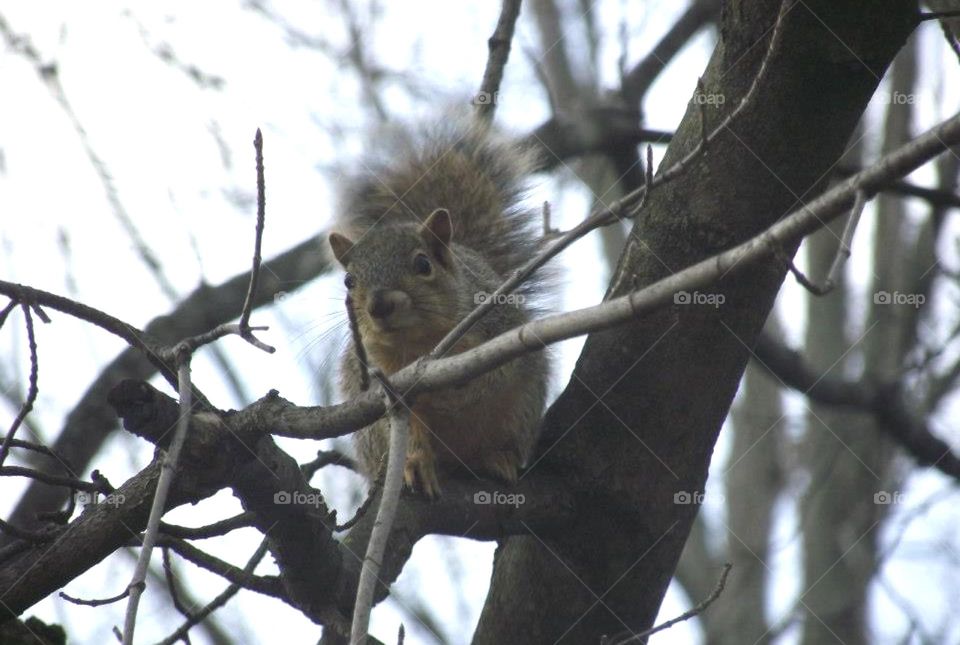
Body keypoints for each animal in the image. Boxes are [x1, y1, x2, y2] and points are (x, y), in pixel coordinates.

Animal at [328, 115, 550, 498]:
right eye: (349, 281)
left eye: (423, 264)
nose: (380, 305)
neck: (420, 343)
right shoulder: (380, 377)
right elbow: (407, 426)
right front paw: (416, 462)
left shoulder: (497, 330)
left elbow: (490, 378)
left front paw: (444, 398)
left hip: (522, 410)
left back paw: (497, 457)